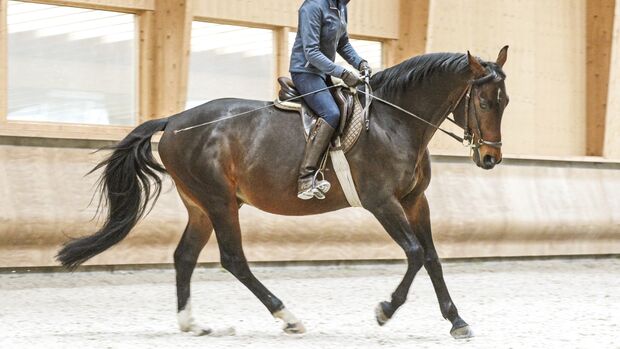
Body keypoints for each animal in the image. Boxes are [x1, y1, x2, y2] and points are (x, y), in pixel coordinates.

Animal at [57, 46, 508, 338]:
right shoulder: (382, 202)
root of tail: (174, 121)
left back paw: (192, 324)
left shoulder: (416, 202)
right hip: (221, 203)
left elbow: (431, 257)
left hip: (200, 206)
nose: (490, 158)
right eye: (485, 102)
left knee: (184, 256)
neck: (394, 121)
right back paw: (288, 317)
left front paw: (456, 321)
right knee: (233, 259)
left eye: (505, 102)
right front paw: (384, 310)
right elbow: (414, 254)